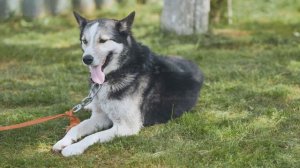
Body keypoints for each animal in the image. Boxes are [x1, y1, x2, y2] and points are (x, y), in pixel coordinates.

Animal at [53, 11, 204, 156]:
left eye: (103, 40)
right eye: (84, 41)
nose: (86, 59)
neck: (120, 70)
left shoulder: (126, 127)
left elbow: (92, 136)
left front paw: (74, 148)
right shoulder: (100, 117)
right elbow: (76, 128)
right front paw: (63, 141)